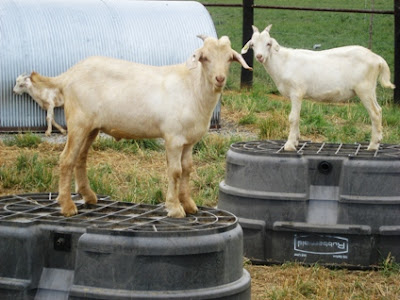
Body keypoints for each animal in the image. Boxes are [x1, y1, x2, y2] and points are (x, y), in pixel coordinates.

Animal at [30, 35, 250, 218]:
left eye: (229, 58)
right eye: (205, 58)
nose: (220, 79)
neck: (192, 88)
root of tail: (68, 75)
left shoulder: (189, 141)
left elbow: (187, 169)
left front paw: (188, 204)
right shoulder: (174, 137)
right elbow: (175, 171)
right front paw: (175, 208)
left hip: (91, 127)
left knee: (80, 157)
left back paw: (89, 196)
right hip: (78, 121)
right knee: (66, 159)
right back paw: (67, 206)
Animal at [242, 23, 396, 151]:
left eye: (268, 43)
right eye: (252, 45)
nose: (259, 57)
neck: (283, 62)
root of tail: (377, 59)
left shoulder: (296, 91)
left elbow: (293, 117)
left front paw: (289, 145)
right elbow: (298, 116)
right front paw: (296, 141)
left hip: (364, 88)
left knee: (375, 113)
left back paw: (373, 145)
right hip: (370, 89)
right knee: (379, 110)